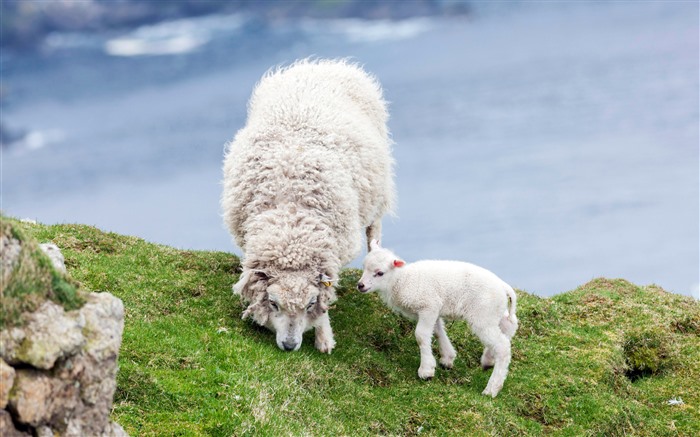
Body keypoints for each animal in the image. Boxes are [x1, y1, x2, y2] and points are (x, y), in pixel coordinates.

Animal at [221, 58, 396, 352]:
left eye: (310, 303)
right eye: (273, 303)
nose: (290, 345)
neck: (291, 219)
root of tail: (325, 64)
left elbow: (327, 295)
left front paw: (324, 338)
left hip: (378, 188)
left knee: (375, 228)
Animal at [358, 240, 516, 396]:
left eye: (380, 273)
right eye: (364, 267)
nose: (360, 285)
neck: (401, 280)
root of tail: (504, 287)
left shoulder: (428, 305)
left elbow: (421, 335)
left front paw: (426, 371)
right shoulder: (433, 309)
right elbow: (438, 331)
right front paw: (447, 358)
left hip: (483, 314)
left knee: (502, 346)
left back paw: (492, 388)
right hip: (492, 312)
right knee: (509, 325)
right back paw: (488, 360)